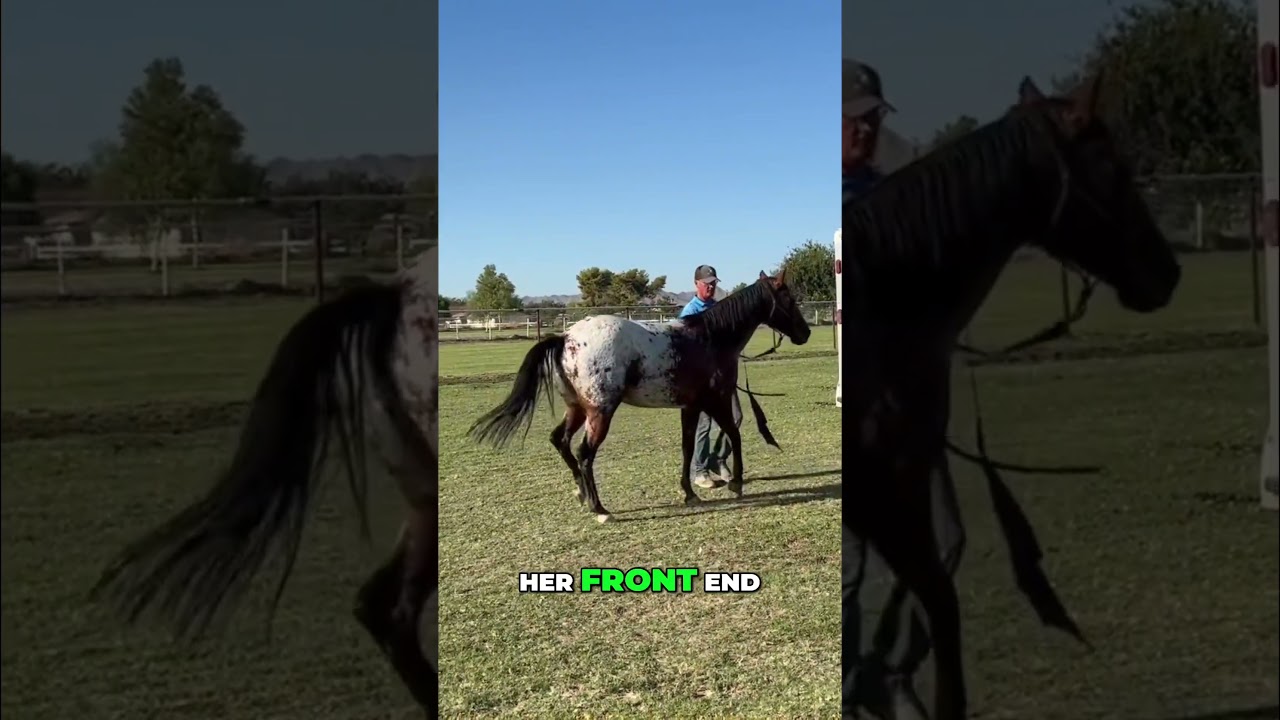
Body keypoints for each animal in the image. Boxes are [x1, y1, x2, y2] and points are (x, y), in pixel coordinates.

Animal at [468, 270, 811, 523]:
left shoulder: (690, 407)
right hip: (600, 413)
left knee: (560, 441)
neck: (710, 339)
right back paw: (600, 509)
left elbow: (688, 447)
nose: (805, 333)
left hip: (577, 408)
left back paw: (581, 493)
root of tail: (566, 338)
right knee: (584, 453)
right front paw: (737, 483)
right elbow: (734, 434)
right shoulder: (715, 401)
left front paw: (690, 493)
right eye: (788, 298)